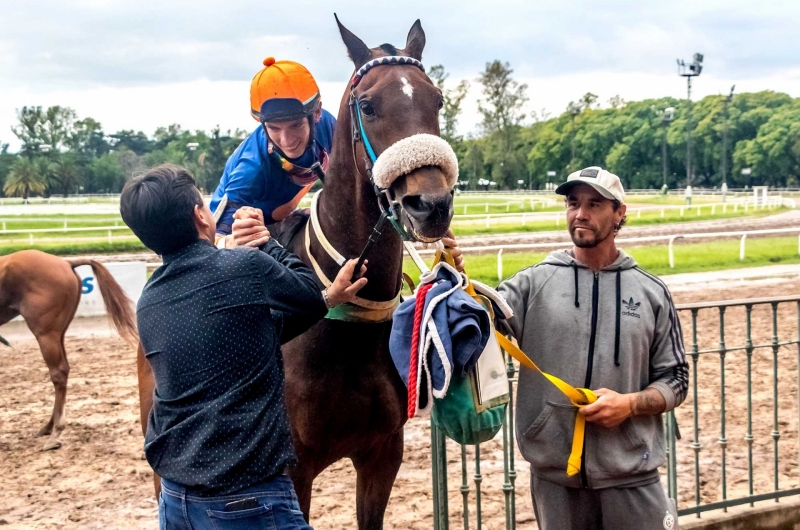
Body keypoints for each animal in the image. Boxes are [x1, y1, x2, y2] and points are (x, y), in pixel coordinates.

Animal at [0, 250, 137, 448]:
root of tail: (66, 263)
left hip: (46, 334)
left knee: (58, 373)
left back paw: (56, 431)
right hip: (59, 333)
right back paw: (49, 426)